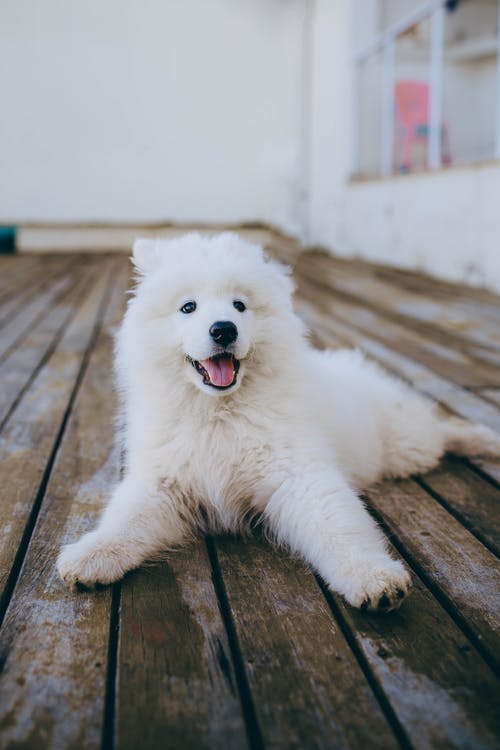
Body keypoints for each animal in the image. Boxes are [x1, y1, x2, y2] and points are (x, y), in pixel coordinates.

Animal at [57, 234, 500, 612]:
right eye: (188, 307)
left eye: (239, 306)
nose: (223, 329)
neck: (220, 414)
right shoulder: (163, 483)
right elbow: (124, 522)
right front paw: (91, 556)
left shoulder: (300, 476)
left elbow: (341, 529)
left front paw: (372, 576)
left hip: (406, 444)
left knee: (440, 430)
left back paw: (482, 439)